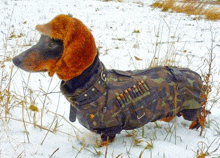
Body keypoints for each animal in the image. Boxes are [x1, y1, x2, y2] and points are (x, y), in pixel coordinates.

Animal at [12, 14, 205, 146]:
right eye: (40, 39)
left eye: (52, 43)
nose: (15, 60)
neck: (93, 86)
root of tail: (197, 75)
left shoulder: (109, 131)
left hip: (191, 110)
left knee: (201, 118)